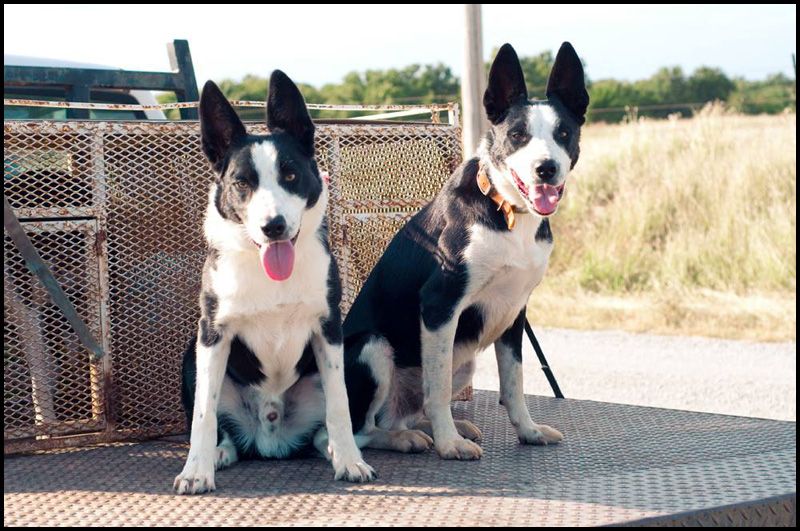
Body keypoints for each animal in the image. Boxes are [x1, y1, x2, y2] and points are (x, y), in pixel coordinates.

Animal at [173, 69, 374, 494]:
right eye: (241, 183)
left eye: (291, 175)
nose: (274, 226)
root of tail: (269, 441)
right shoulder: (212, 333)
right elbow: (203, 415)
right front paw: (196, 470)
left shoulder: (329, 328)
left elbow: (340, 405)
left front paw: (350, 460)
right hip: (190, 357)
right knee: (221, 426)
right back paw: (220, 452)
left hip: (355, 351)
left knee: (323, 426)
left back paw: (330, 447)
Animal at [342, 43, 588, 460]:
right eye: (518, 135)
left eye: (564, 133)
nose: (546, 169)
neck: (508, 212)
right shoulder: (440, 305)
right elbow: (438, 390)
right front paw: (448, 443)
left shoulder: (514, 311)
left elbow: (514, 384)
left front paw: (528, 431)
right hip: (373, 348)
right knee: (353, 431)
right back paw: (408, 438)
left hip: (464, 363)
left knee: (401, 414)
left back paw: (431, 428)